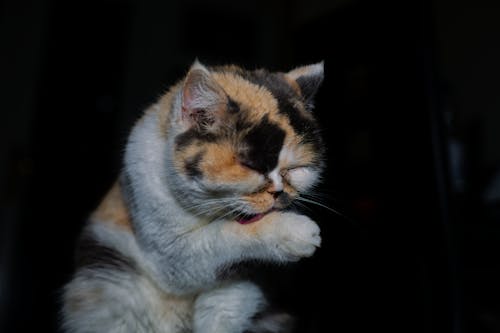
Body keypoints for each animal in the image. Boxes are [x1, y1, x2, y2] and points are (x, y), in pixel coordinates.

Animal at [62, 60, 326, 332]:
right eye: (250, 166)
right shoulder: (169, 253)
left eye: (296, 169)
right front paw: (294, 232)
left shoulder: (246, 285)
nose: (279, 192)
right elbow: (220, 237)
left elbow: (225, 306)